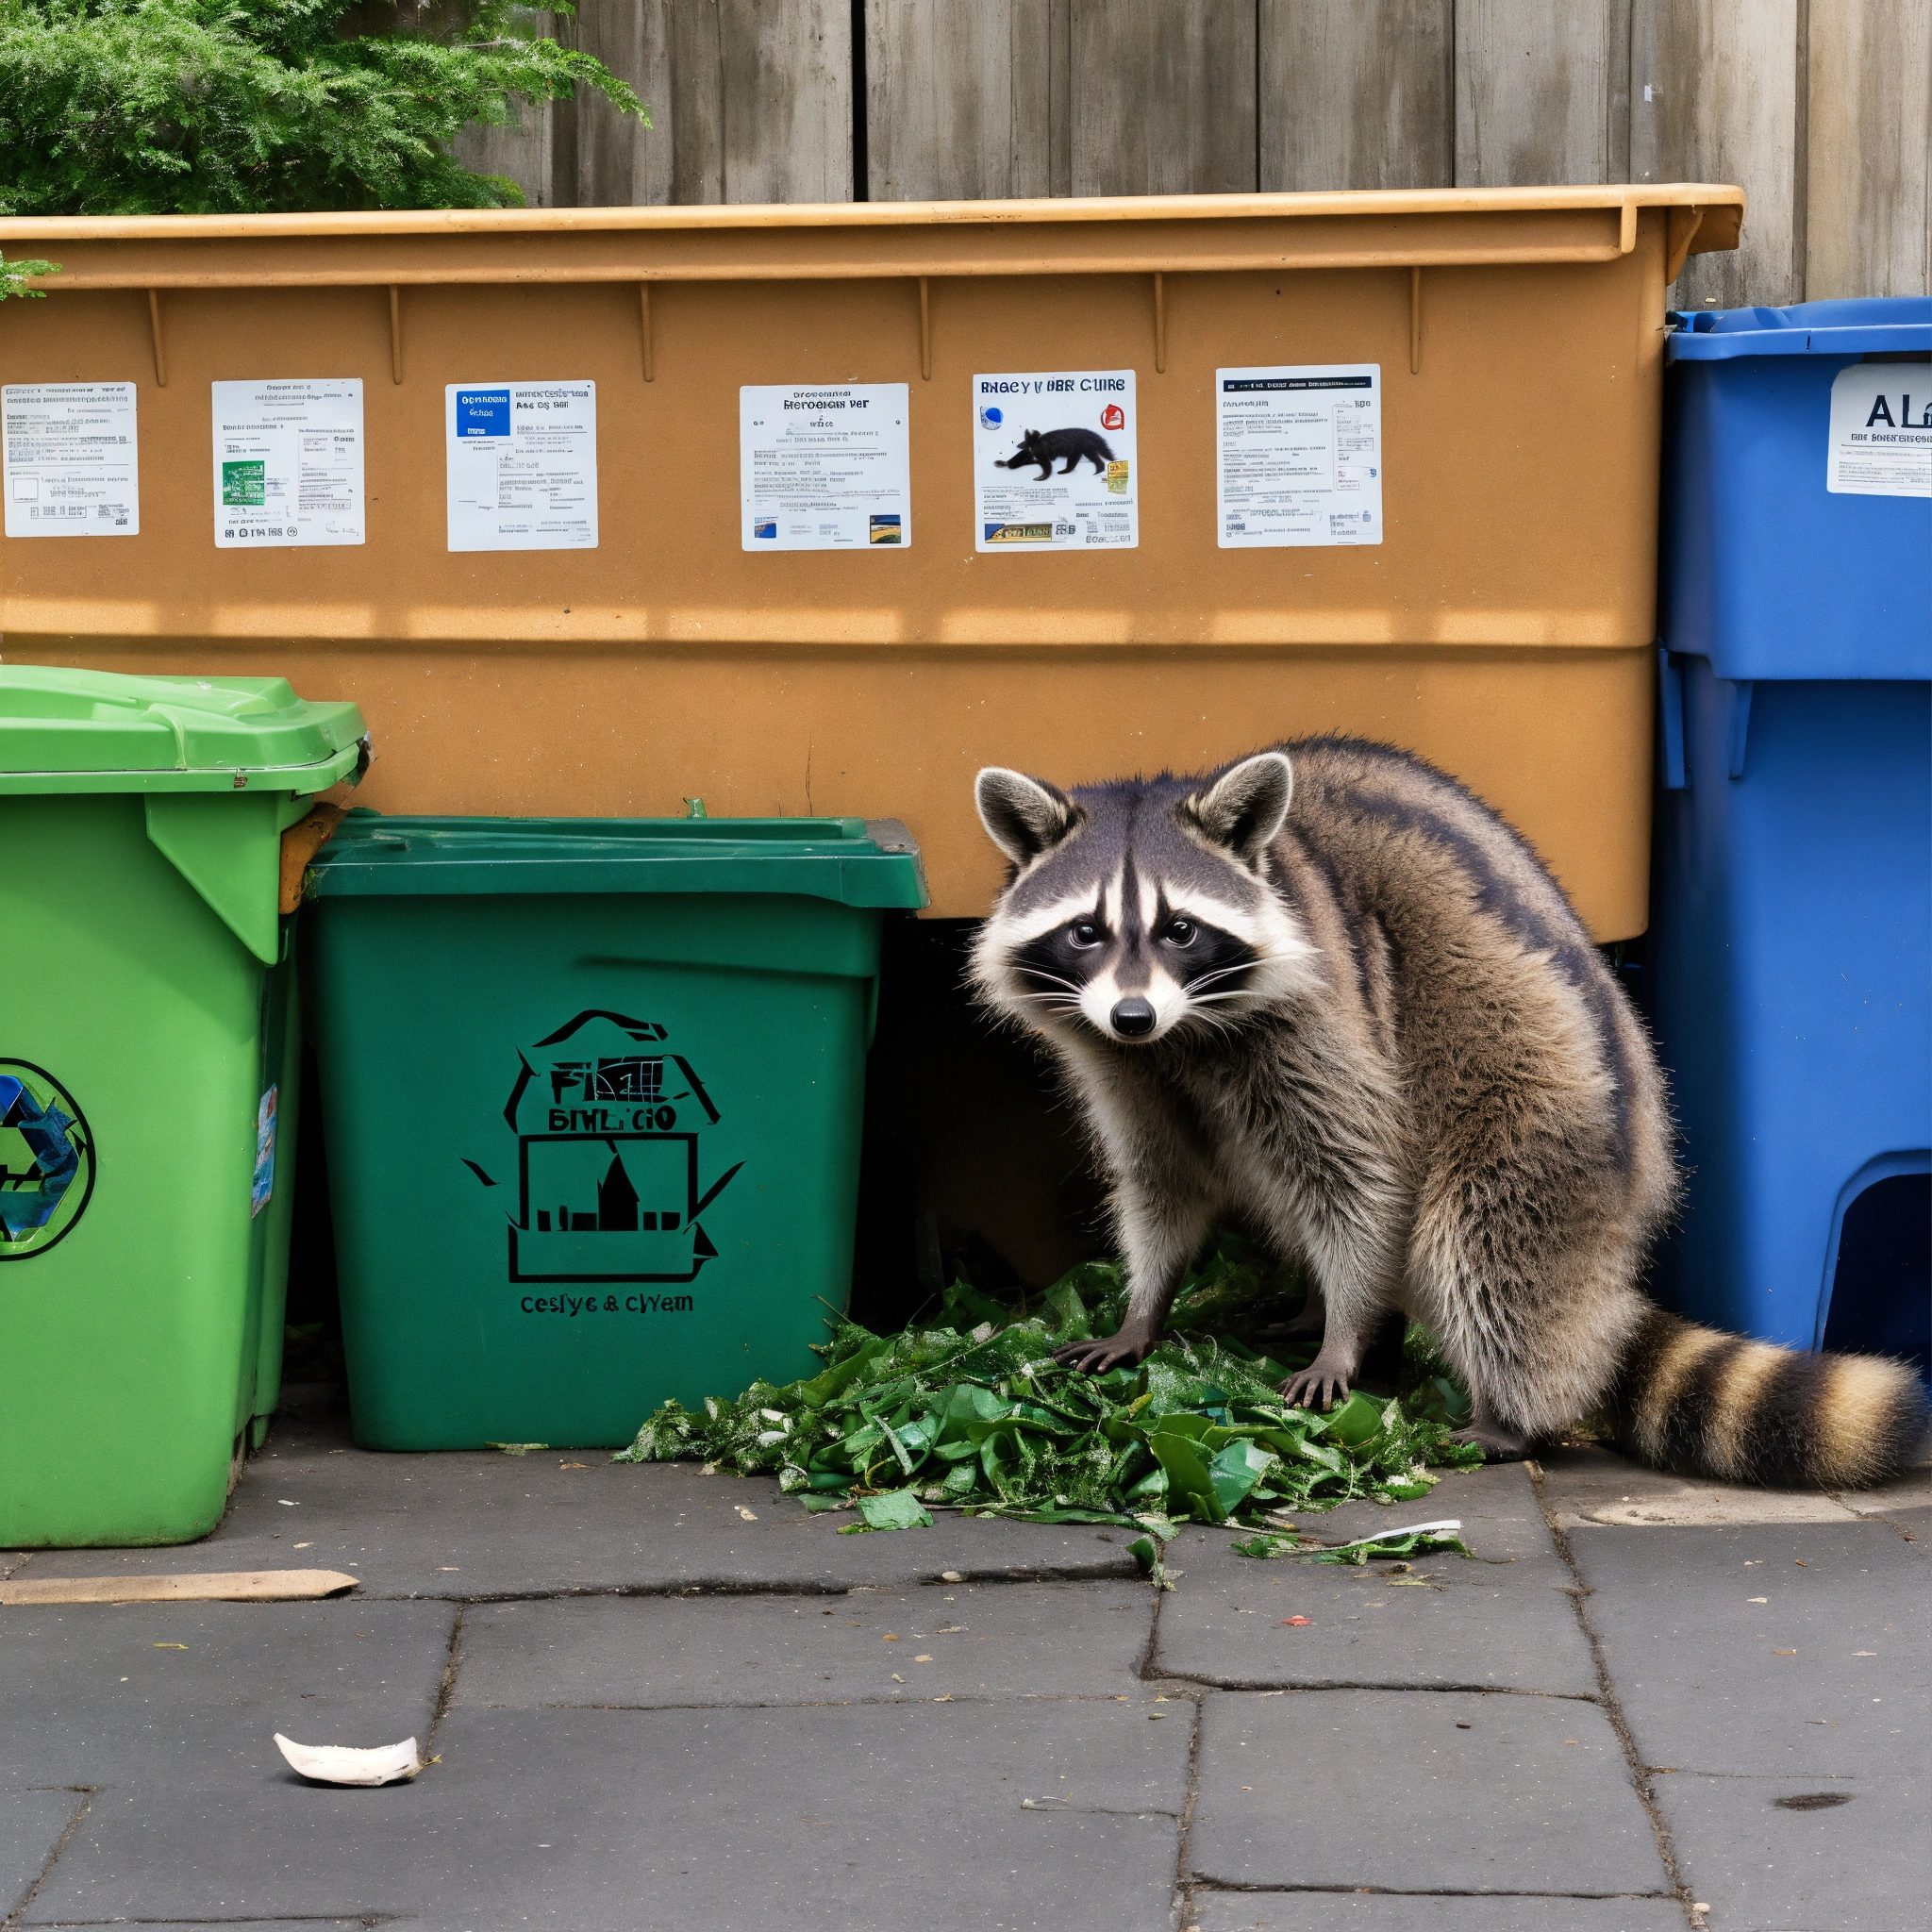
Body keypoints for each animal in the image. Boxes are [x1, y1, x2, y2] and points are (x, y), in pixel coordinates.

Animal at [969, 738, 1928, 1486]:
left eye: (1180, 929)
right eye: (1086, 931)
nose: (1133, 1013)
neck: (1184, 1037)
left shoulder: (1329, 1014)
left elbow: (1361, 1180)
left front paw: (1347, 1333)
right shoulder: (1118, 1065)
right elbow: (1161, 1178)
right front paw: (1146, 1304)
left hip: (1548, 1108)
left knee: (1482, 1243)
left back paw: (1507, 1412)